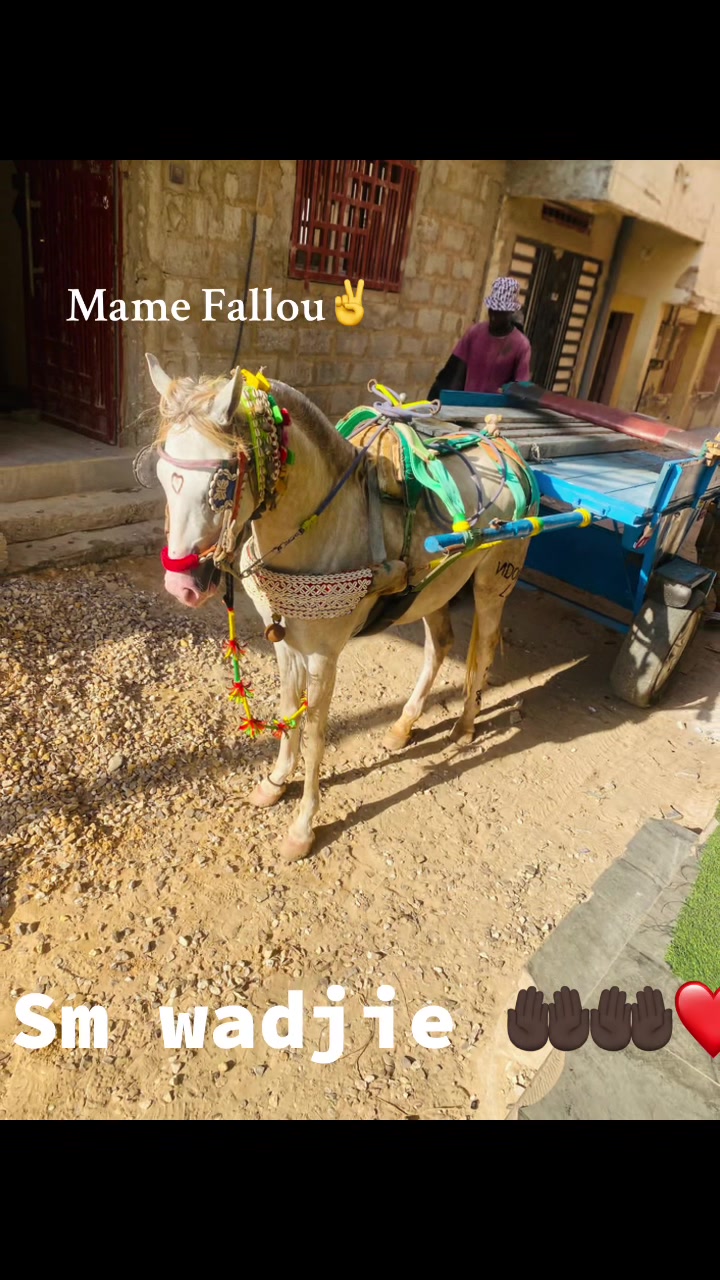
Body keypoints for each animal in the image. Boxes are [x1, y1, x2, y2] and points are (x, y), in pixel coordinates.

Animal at [144, 355, 536, 862]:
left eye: (225, 478)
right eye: (161, 474)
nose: (182, 584)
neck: (322, 524)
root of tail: (502, 442)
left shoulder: (324, 656)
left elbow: (315, 732)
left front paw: (302, 826)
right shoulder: (285, 642)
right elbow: (287, 709)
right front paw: (275, 782)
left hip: (493, 581)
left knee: (482, 646)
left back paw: (466, 726)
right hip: (437, 586)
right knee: (440, 645)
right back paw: (403, 726)